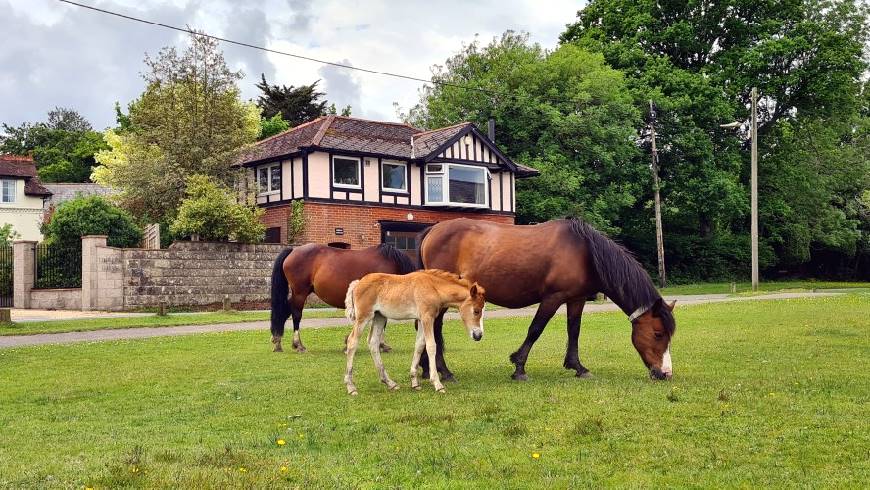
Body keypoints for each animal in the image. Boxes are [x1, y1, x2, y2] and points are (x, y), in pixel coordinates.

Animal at [272, 242, 422, 352]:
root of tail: (293, 250)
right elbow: (382, 323)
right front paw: (381, 344)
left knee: (284, 311)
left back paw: (277, 341)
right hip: (300, 293)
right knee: (296, 315)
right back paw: (298, 344)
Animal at [344, 270, 488, 396]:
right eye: (476, 311)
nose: (478, 335)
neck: (434, 288)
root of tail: (358, 283)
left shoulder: (420, 319)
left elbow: (419, 345)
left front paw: (414, 382)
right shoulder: (427, 317)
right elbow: (431, 346)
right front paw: (437, 384)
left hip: (380, 317)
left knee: (373, 342)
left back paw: (390, 383)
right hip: (363, 317)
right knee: (352, 342)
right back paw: (351, 387)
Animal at [418, 218, 676, 382]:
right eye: (658, 334)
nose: (665, 373)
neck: (585, 252)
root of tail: (433, 230)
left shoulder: (576, 299)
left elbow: (574, 331)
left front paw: (578, 367)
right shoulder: (552, 298)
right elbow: (535, 329)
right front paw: (519, 367)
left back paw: (427, 369)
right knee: (434, 328)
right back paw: (444, 372)